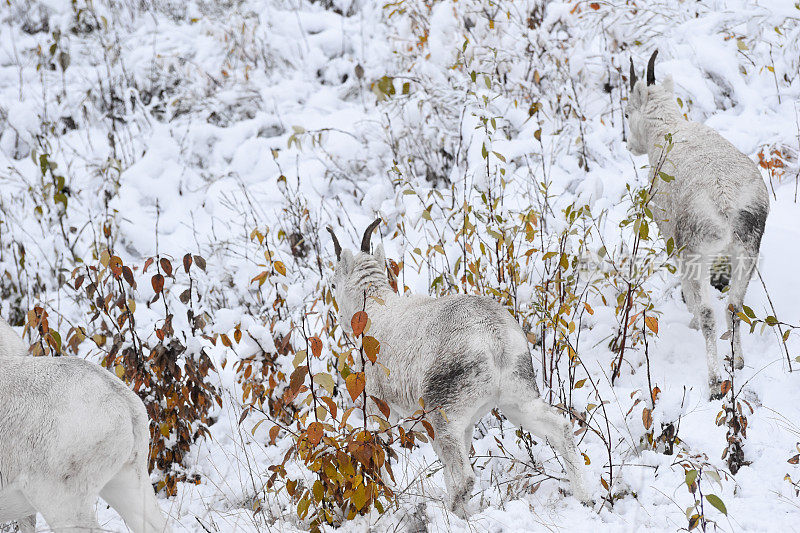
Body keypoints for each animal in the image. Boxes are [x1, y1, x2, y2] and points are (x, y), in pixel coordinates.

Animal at [326, 219, 592, 516]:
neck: (374, 311)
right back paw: (586, 500)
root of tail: (494, 337)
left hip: (444, 418)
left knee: (464, 477)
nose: (341, 321)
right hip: (517, 402)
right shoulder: (468, 423)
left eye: (333, 284)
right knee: (562, 430)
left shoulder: (379, 406)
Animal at [624, 51, 768, 400]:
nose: (629, 145)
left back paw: (715, 383)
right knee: (734, 304)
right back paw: (737, 361)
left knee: (708, 312)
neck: (667, 132)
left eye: (626, 113)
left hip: (697, 253)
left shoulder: (675, 244)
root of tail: (727, 201)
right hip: (748, 249)